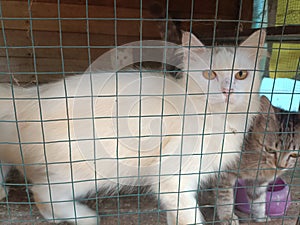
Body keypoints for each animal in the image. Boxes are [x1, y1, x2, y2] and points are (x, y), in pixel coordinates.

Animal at [0, 30, 264, 225]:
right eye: (210, 74)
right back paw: (86, 218)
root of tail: (29, 96)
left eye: (241, 75)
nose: (227, 90)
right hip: (86, 171)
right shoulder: (172, 179)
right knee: (42, 193)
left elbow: (175, 215)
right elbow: (190, 217)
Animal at [216, 96, 300, 224]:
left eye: (295, 155)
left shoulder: (259, 182)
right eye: (270, 149)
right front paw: (228, 216)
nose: (280, 166)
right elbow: (225, 196)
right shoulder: (224, 172)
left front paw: (260, 216)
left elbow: (258, 200)